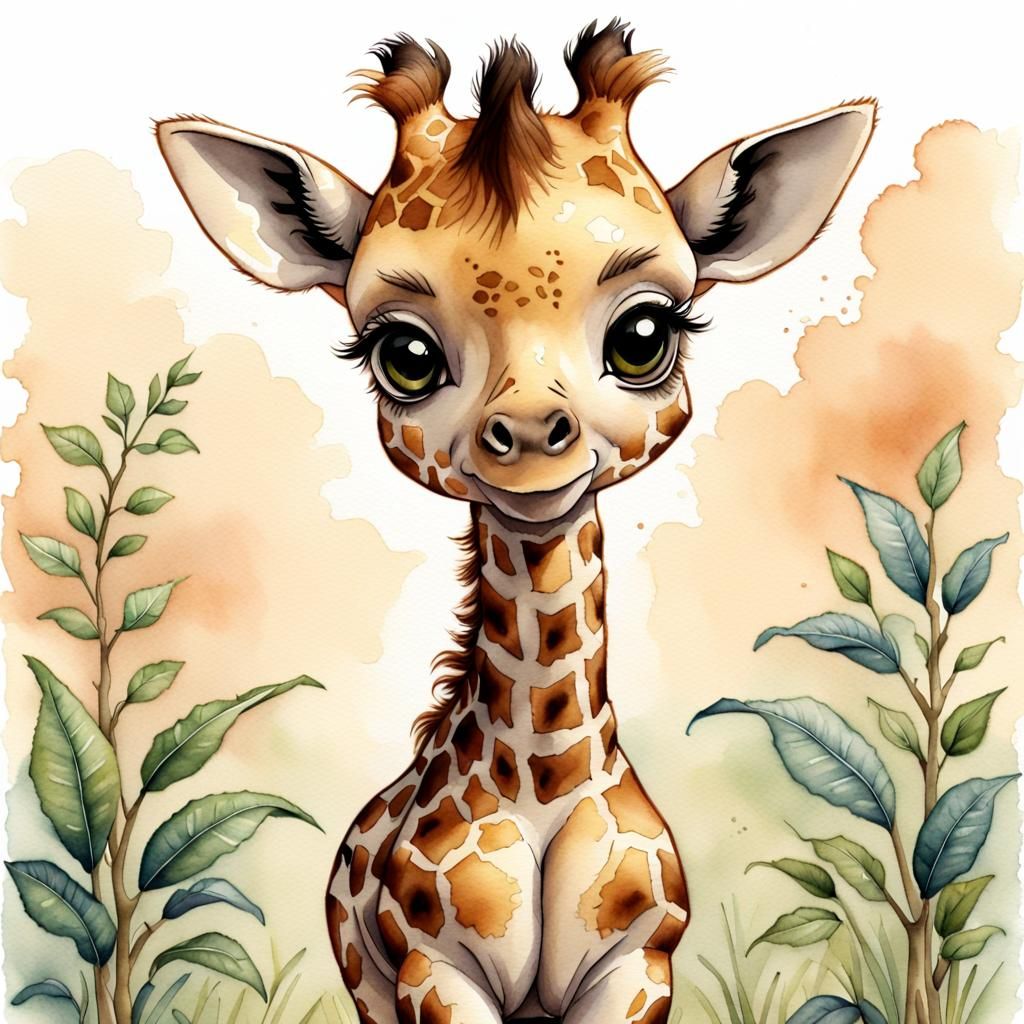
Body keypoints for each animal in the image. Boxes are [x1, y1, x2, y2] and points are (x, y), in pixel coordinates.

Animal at [155, 20, 875, 1023]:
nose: (531, 439)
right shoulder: (434, 968)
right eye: (404, 352)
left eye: (645, 336)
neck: (543, 783)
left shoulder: (638, 965)